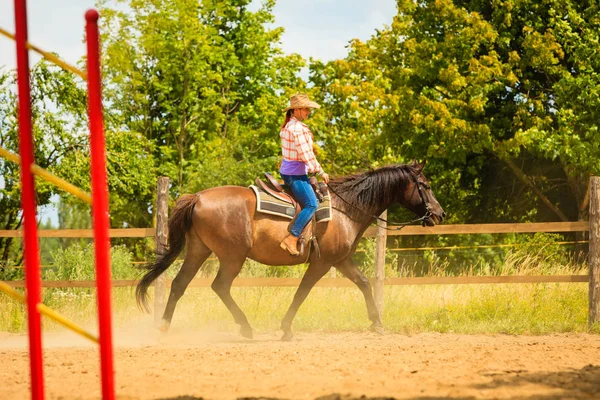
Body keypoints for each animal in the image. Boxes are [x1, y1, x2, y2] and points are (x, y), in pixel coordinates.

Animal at [137, 159, 446, 340]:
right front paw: (286, 328)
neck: (345, 208)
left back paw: (163, 328)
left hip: (198, 250)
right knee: (220, 286)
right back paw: (246, 328)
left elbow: (364, 283)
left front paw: (377, 323)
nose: (439, 214)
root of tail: (198, 197)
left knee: (179, 284)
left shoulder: (341, 260)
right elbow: (302, 292)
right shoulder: (322, 263)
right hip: (232, 256)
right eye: (425, 185)